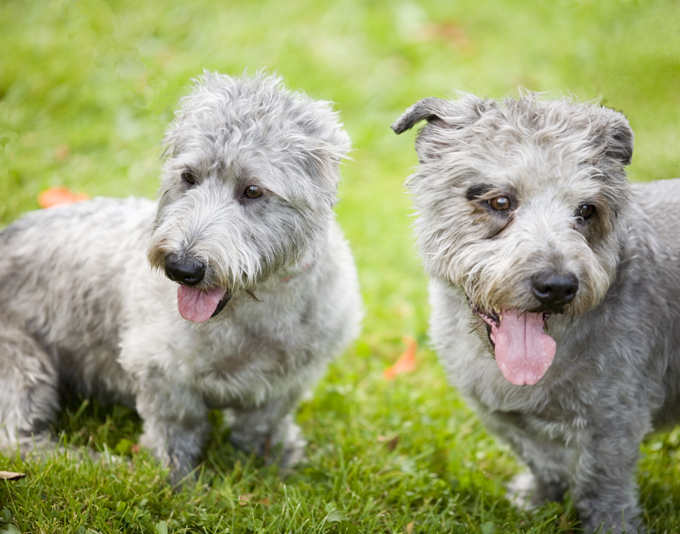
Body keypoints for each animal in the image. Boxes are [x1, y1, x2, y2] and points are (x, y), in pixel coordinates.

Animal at [0, 72, 364, 486]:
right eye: (188, 177)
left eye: (253, 190)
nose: (181, 268)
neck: (254, 311)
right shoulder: (157, 370)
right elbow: (179, 425)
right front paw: (177, 479)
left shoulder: (293, 377)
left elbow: (264, 421)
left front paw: (272, 459)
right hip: (23, 361)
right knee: (17, 440)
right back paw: (94, 463)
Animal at [394, 94, 680, 532]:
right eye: (500, 201)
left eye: (586, 210)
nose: (558, 286)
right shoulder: (504, 416)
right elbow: (544, 462)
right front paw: (537, 501)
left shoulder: (614, 422)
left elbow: (601, 484)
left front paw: (611, 524)